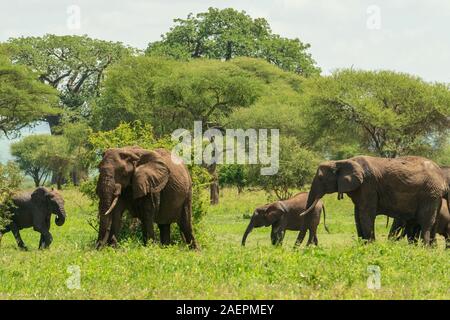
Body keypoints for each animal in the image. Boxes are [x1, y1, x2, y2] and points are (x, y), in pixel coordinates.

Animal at [298, 156, 448, 245]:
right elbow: (358, 216)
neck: (341, 162)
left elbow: (366, 214)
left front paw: (370, 245)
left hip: (430, 193)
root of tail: (440, 174)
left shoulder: (368, 185)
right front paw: (362, 245)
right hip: (433, 196)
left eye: (320, 178)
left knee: (426, 223)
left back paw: (424, 248)